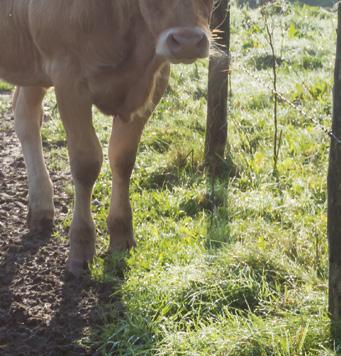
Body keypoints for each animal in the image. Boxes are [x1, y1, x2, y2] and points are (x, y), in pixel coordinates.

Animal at [0, 0, 212, 276]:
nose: (187, 42)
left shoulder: (154, 81)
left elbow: (123, 159)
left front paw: (122, 236)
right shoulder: (68, 79)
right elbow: (86, 163)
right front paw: (81, 247)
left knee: (26, 116)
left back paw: (41, 208)